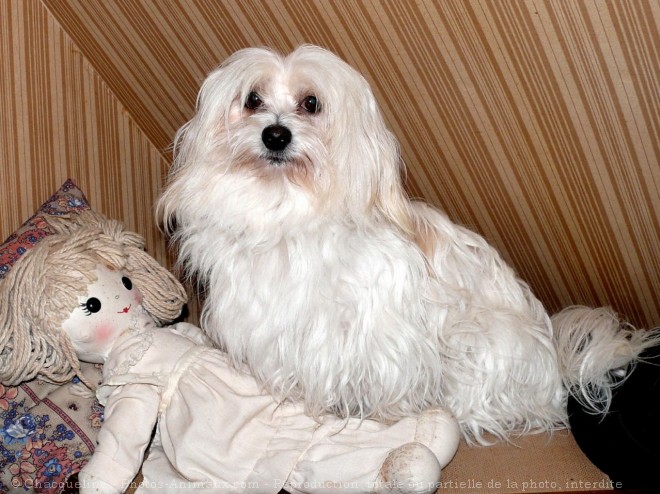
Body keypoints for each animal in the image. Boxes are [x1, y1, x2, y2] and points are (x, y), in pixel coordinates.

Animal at [157, 43, 656, 444]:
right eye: (252, 99)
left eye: (311, 103)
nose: (275, 134)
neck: (285, 211)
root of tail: (559, 368)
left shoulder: (378, 330)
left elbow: (381, 372)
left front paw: (381, 412)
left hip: (480, 340)